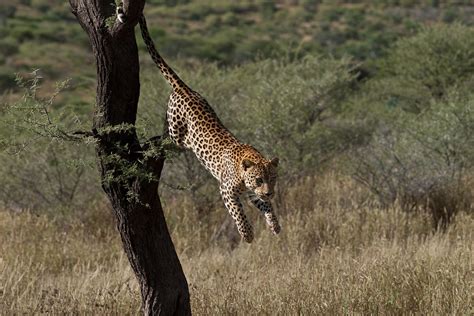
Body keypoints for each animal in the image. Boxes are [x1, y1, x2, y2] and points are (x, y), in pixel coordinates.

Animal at [118, 4, 280, 242]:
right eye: (259, 179)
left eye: (272, 178)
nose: (270, 191)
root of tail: (186, 89)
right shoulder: (226, 191)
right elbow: (239, 213)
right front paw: (247, 234)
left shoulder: (252, 195)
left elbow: (266, 207)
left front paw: (275, 225)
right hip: (176, 132)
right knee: (170, 134)